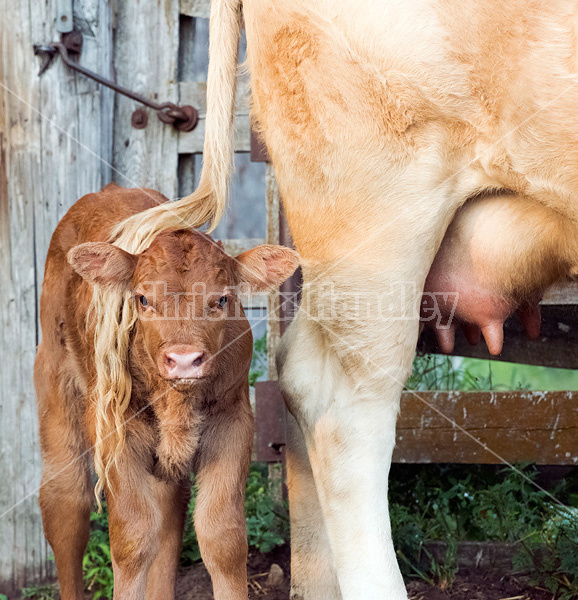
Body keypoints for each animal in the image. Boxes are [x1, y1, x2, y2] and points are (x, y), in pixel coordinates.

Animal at [33, 184, 296, 600]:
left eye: (222, 299)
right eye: (142, 299)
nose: (184, 360)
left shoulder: (234, 422)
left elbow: (223, 538)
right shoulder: (115, 433)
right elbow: (132, 539)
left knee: (170, 511)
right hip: (56, 388)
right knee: (65, 502)